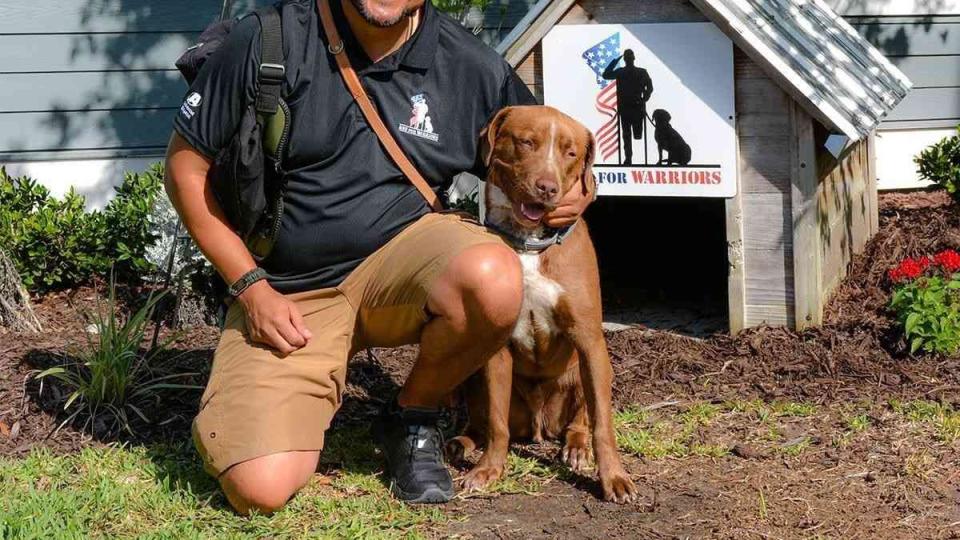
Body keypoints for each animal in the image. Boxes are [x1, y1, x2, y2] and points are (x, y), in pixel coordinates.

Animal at [450, 105, 636, 502]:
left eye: (571, 153)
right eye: (526, 142)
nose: (547, 188)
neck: (530, 244)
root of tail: (540, 427)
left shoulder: (590, 341)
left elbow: (603, 424)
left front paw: (613, 477)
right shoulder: (497, 352)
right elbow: (497, 423)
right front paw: (488, 469)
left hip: (588, 368)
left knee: (581, 421)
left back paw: (576, 448)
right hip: (475, 373)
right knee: (482, 422)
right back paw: (462, 443)